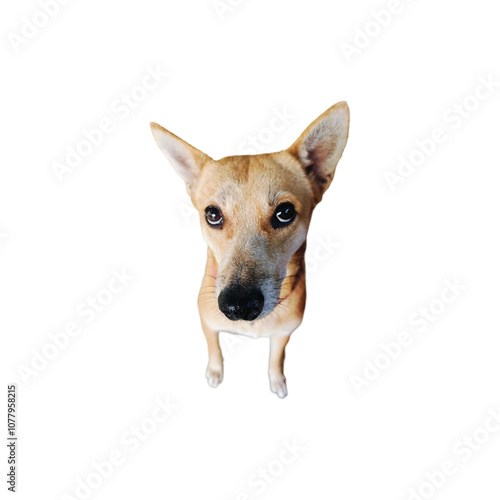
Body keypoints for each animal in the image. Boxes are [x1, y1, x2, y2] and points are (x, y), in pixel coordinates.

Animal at [150, 101, 350, 398]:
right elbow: (214, 350)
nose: (239, 304)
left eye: (285, 213)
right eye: (212, 215)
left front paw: (277, 381)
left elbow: (276, 358)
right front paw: (214, 372)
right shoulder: (208, 324)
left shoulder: (283, 333)